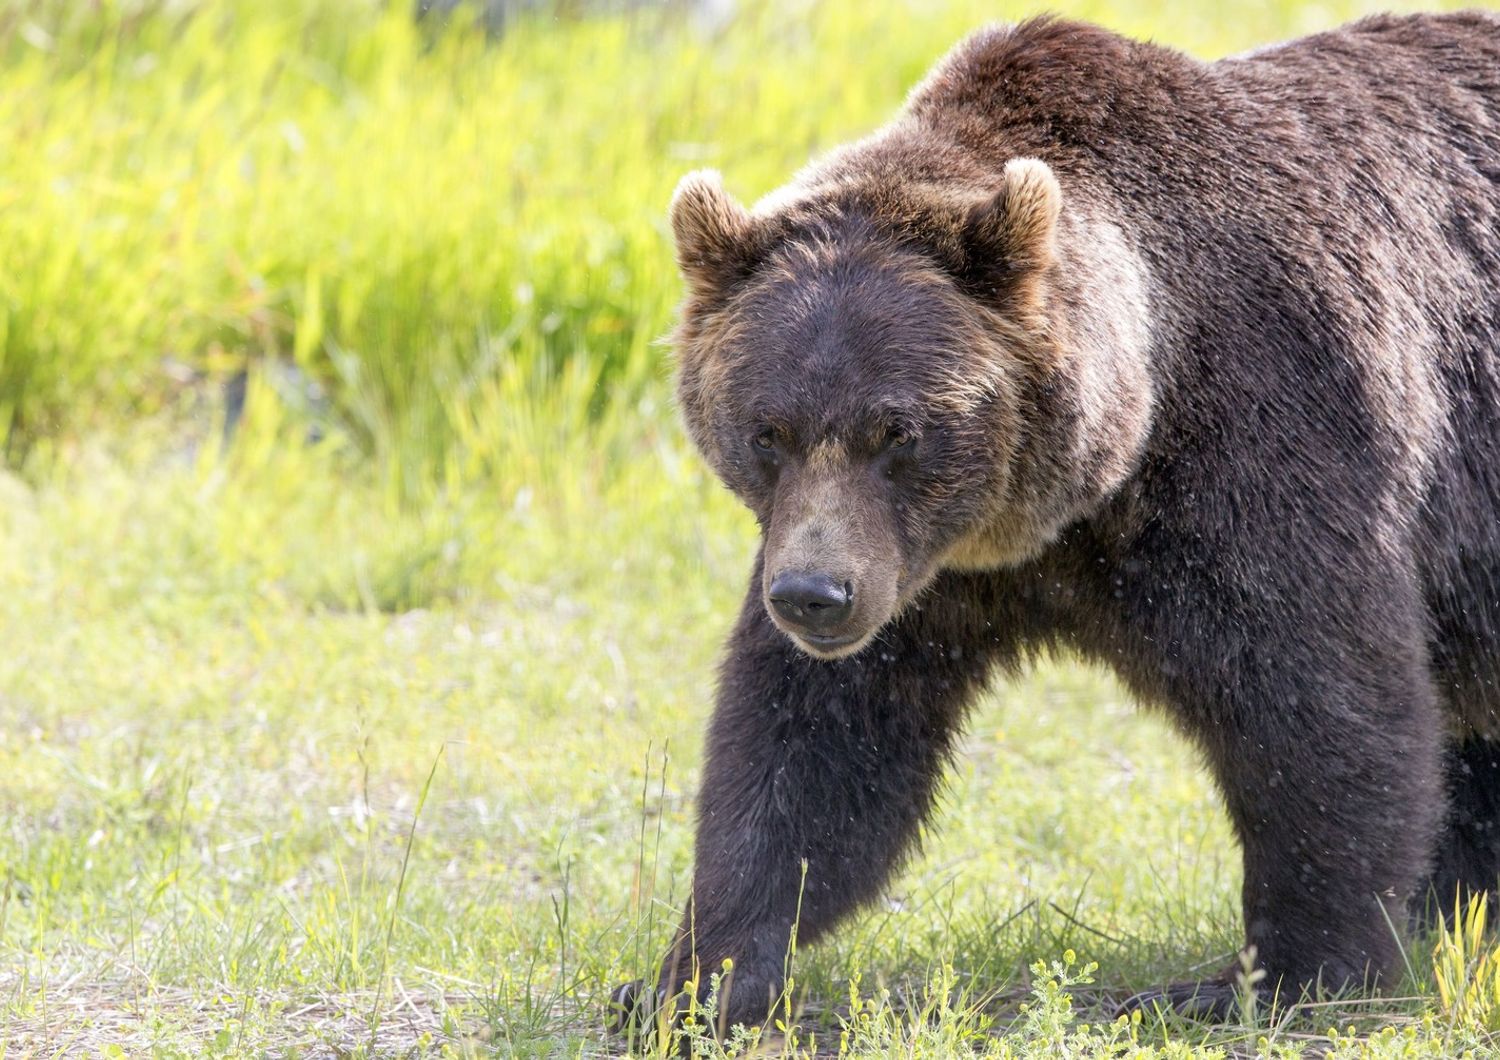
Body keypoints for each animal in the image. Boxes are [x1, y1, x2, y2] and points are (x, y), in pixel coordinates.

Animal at [615, 8, 1500, 1031]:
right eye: (769, 429)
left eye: (897, 429)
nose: (813, 597)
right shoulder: (921, 575)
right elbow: (812, 745)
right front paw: (693, 977)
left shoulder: (1268, 443)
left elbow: (1324, 703)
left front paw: (1278, 972)